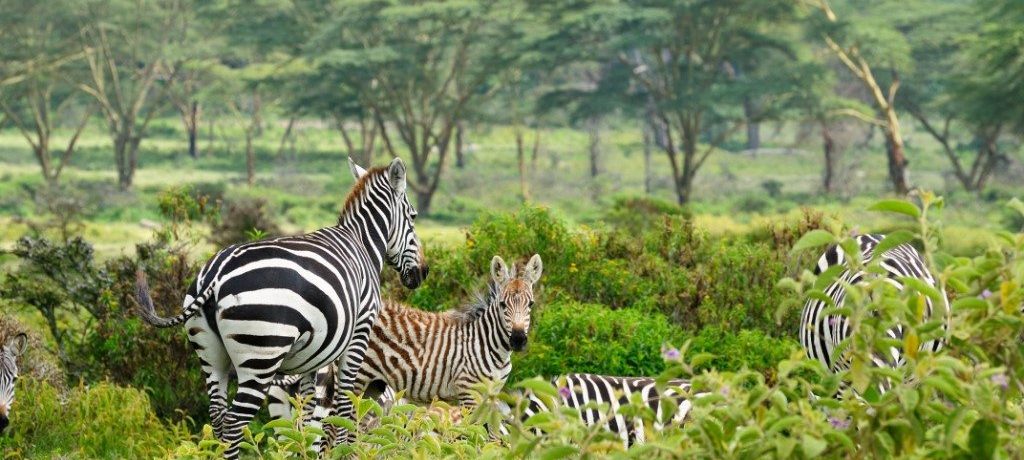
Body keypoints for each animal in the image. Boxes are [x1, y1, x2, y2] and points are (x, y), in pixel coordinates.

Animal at [135, 156, 428, 454]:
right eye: (414, 216)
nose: (423, 273)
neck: (363, 244)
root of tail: (216, 273)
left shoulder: (314, 356)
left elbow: (309, 415)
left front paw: (308, 451)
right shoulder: (360, 332)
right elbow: (346, 406)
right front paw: (343, 451)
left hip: (209, 354)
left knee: (217, 416)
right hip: (261, 355)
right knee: (234, 422)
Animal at [270, 253, 544, 422]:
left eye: (531, 304)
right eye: (502, 305)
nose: (518, 340)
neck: (491, 347)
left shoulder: (491, 395)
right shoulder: (468, 393)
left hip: (373, 386)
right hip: (354, 378)